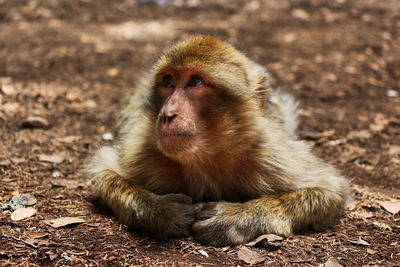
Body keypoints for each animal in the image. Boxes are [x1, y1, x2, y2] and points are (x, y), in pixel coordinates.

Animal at [86, 35, 346, 247]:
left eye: (195, 82)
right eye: (168, 82)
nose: (167, 114)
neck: (205, 157)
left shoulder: (270, 157)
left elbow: (330, 190)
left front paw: (232, 220)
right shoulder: (143, 153)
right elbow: (104, 174)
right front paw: (163, 212)